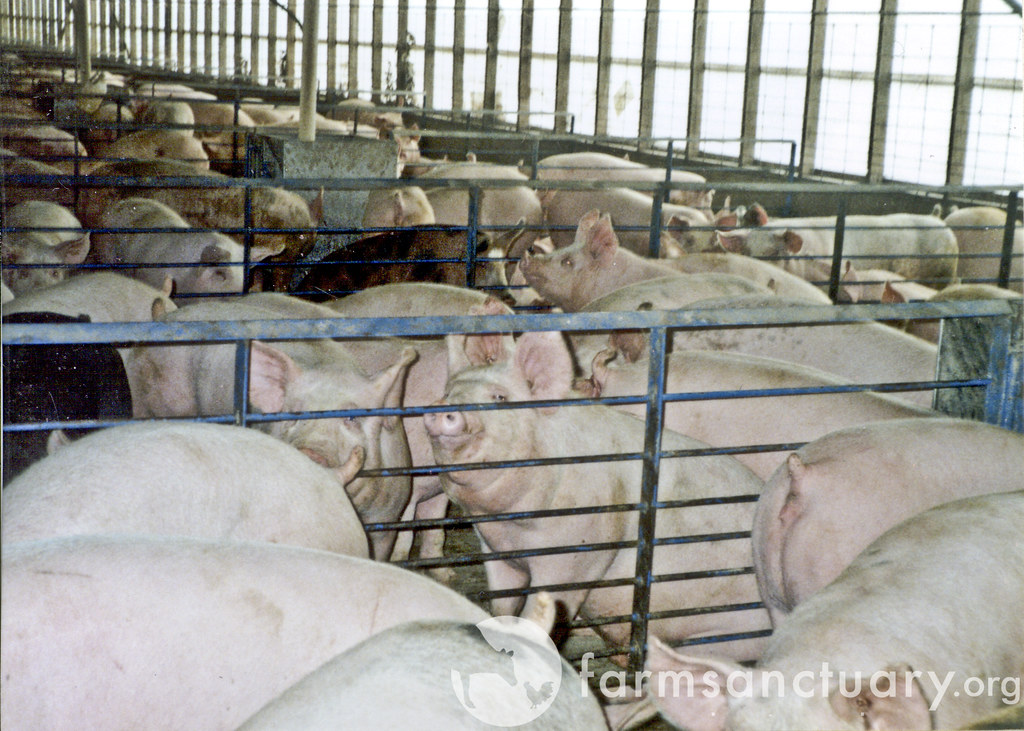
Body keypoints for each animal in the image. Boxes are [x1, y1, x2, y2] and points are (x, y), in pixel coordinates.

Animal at [125, 295, 415, 559]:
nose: (311, 452)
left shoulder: (389, 514)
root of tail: (164, 317)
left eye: (352, 418)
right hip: (142, 397)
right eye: (295, 414)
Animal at [425, 324, 770, 660]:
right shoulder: (496, 550)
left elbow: (536, 616)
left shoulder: (577, 552)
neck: (510, 525)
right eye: (447, 392)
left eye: (500, 397)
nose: (442, 409)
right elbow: (501, 604)